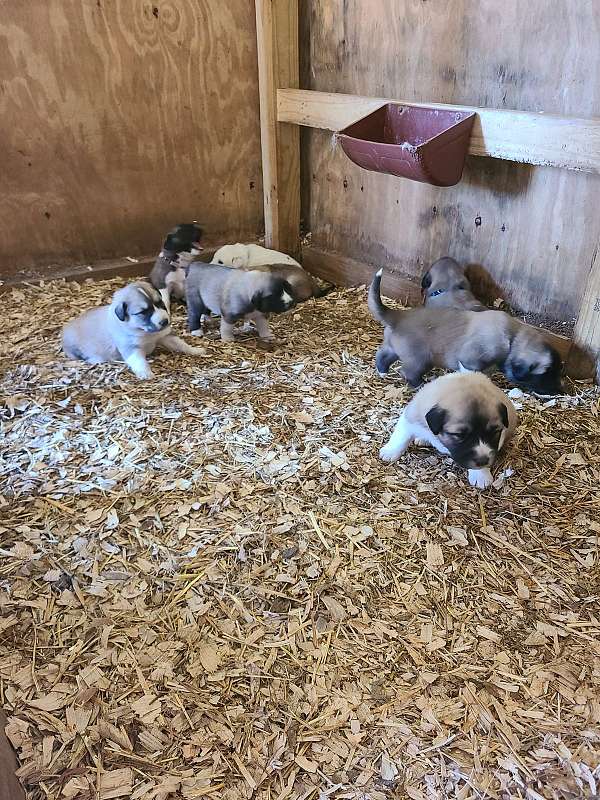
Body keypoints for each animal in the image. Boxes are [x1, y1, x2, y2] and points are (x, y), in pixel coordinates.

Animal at [62, 282, 204, 382]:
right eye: (143, 312)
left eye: (160, 303)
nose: (165, 321)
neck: (143, 331)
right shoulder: (131, 349)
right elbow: (139, 361)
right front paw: (146, 373)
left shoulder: (165, 336)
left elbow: (181, 344)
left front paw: (196, 350)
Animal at [368, 268, 564, 396]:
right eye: (547, 373)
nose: (560, 390)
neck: (512, 338)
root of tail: (398, 315)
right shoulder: (470, 360)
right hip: (421, 359)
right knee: (408, 372)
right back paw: (420, 385)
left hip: (393, 348)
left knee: (382, 356)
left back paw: (382, 372)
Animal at [380, 370, 516, 488]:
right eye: (459, 435)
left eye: (495, 432)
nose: (483, 461)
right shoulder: (411, 417)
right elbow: (400, 436)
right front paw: (390, 451)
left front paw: (481, 474)